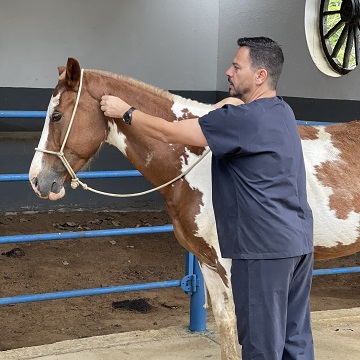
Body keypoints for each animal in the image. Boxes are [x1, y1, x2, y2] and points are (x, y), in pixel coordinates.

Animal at [28, 57, 360, 358]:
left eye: (56, 115)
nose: (36, 180)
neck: (197, 161)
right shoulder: (208, 263)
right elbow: (227, 328)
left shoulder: (231, 266)